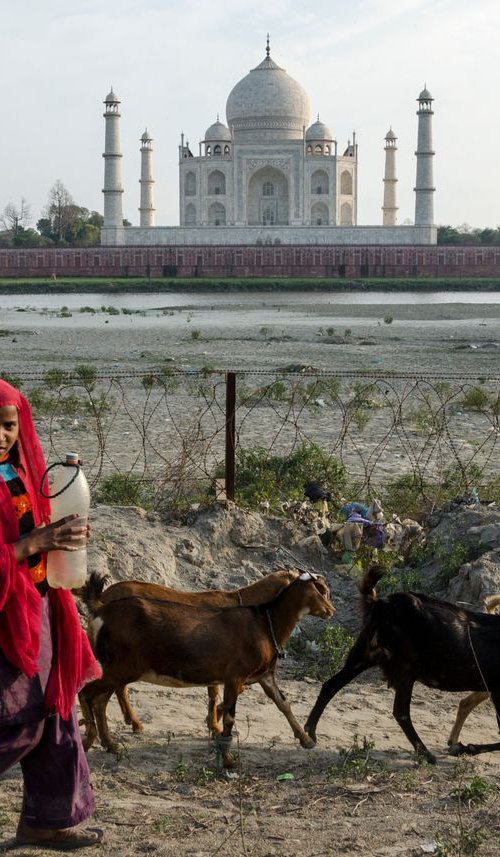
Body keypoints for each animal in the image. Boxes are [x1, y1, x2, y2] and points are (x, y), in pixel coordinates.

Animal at [80, 572, 334, 764]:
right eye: (322, 590)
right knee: (87, 693)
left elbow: (283, 704)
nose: (331, 611)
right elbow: (230, 716)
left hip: (116, 668)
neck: (264, 621)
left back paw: (110, 743)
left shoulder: (264, 676)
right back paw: (89, 738)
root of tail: (101, 609)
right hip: (122, 667)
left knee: (100, 700)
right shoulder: (235, 676)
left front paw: (306, 740)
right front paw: (227, 757)